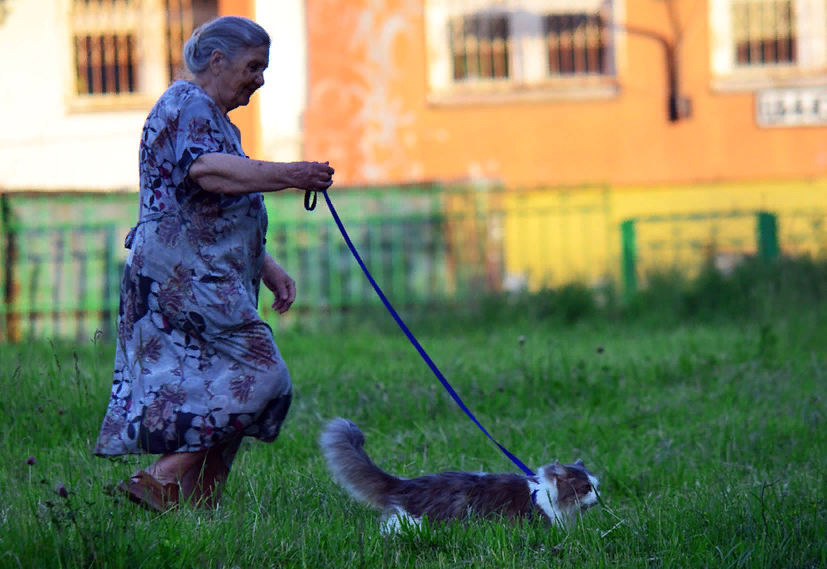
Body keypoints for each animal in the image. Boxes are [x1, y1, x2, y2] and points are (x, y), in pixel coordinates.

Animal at [318, 418, 600, 532]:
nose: (599, 500)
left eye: (597, 487)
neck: (548, 494)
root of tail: (407, 484)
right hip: (417, 519)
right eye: (586, 488)